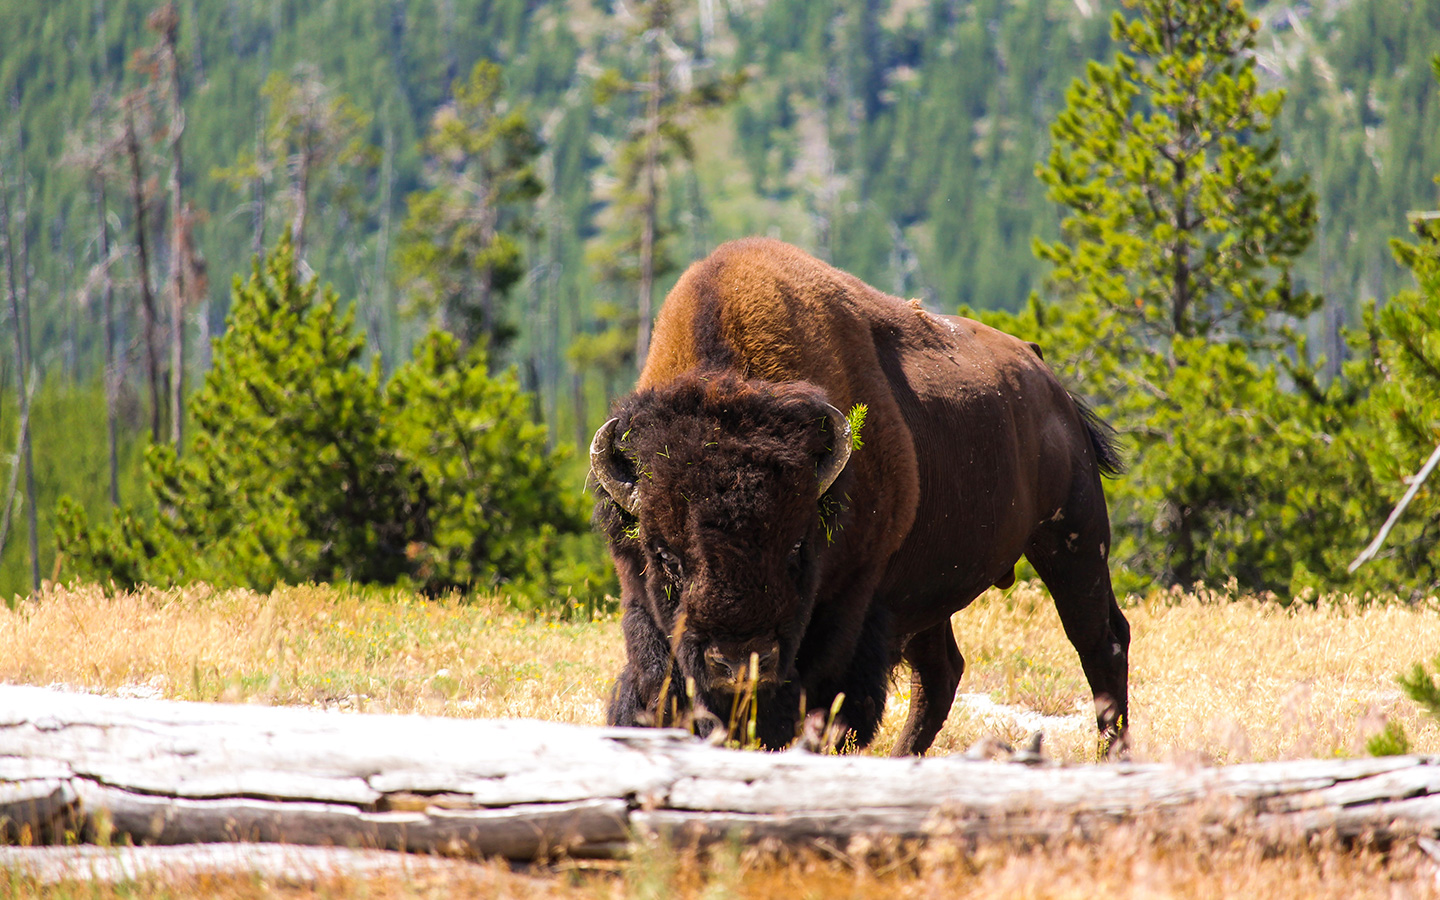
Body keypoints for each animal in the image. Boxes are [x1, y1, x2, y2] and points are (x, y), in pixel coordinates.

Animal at [590, 237, 1128, 748]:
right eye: (665, 556)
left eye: (797, 548)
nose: (740, 664)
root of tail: (1045, 376)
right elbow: (655, 687)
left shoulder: (855, 601)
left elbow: (830, 704)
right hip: (931, 590)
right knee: (941, 673)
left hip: (1074, 539)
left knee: (1102, 641)